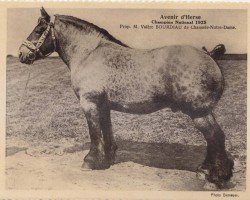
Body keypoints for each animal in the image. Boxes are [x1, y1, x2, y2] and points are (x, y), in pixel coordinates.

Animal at [18, 7, 233, 188]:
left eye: (38, 30)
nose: (21, 54)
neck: (88, 53)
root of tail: (210, 56)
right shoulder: (103, 105)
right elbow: (106, 129)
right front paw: (107, 159)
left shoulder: (89, 103)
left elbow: (94, 132)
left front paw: (90, 160)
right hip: (203, 112)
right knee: (213, 139)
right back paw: (205, 171)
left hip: (198, 113)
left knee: (215, 137)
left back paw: (216, 178)